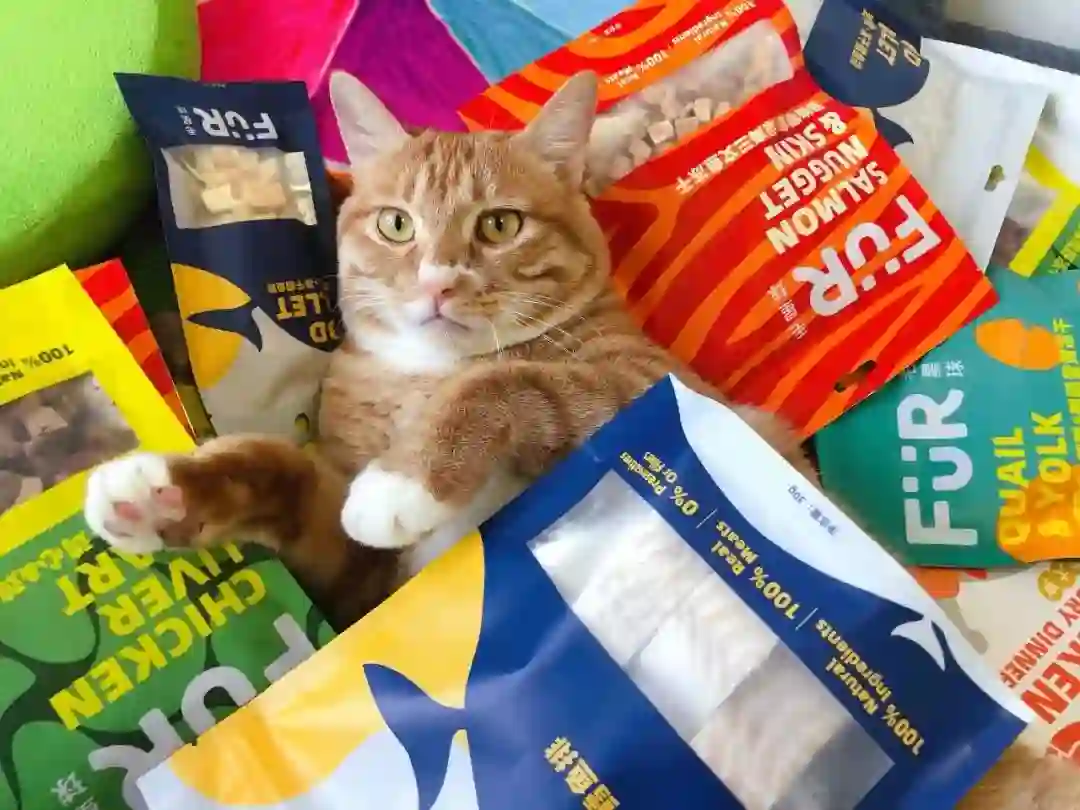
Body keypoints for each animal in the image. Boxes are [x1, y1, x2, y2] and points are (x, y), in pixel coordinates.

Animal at [83, 70, 1080, 807]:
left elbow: (504, 382)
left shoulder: (632, 390)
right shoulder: (355, 575)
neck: (419, 376)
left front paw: (407, 480)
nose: (439, 283)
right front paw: (157, 493)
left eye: (498, 224)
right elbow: (280, 473)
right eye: (399, 223)